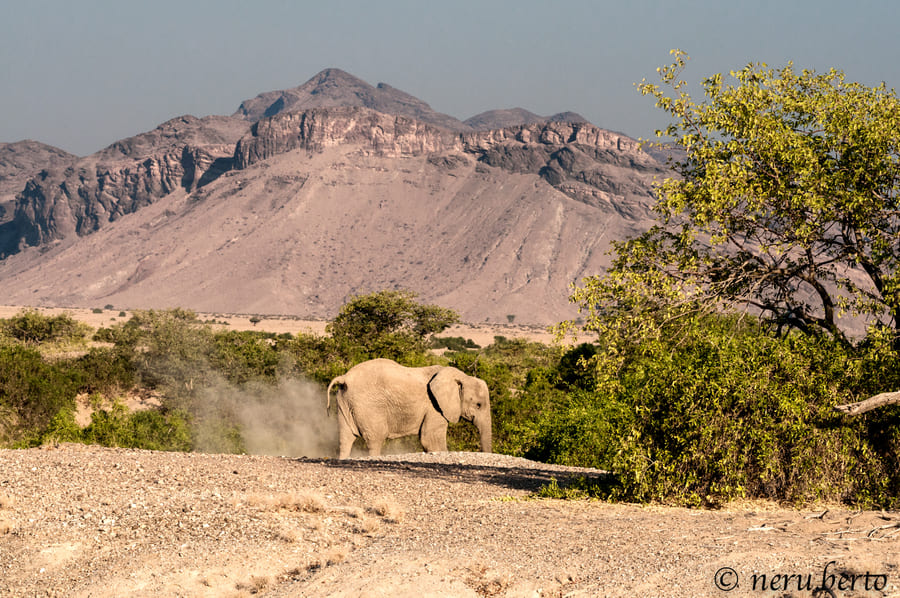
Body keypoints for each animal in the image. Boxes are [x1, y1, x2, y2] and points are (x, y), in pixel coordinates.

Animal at [326, 358, 492, 459]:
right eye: (478, 405)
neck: (462, 377)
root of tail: (345, 378)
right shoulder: (434, 407)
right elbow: (430, 439)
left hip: (344, 401)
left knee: (346, 439)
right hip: (369, 406)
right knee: (376, 439)